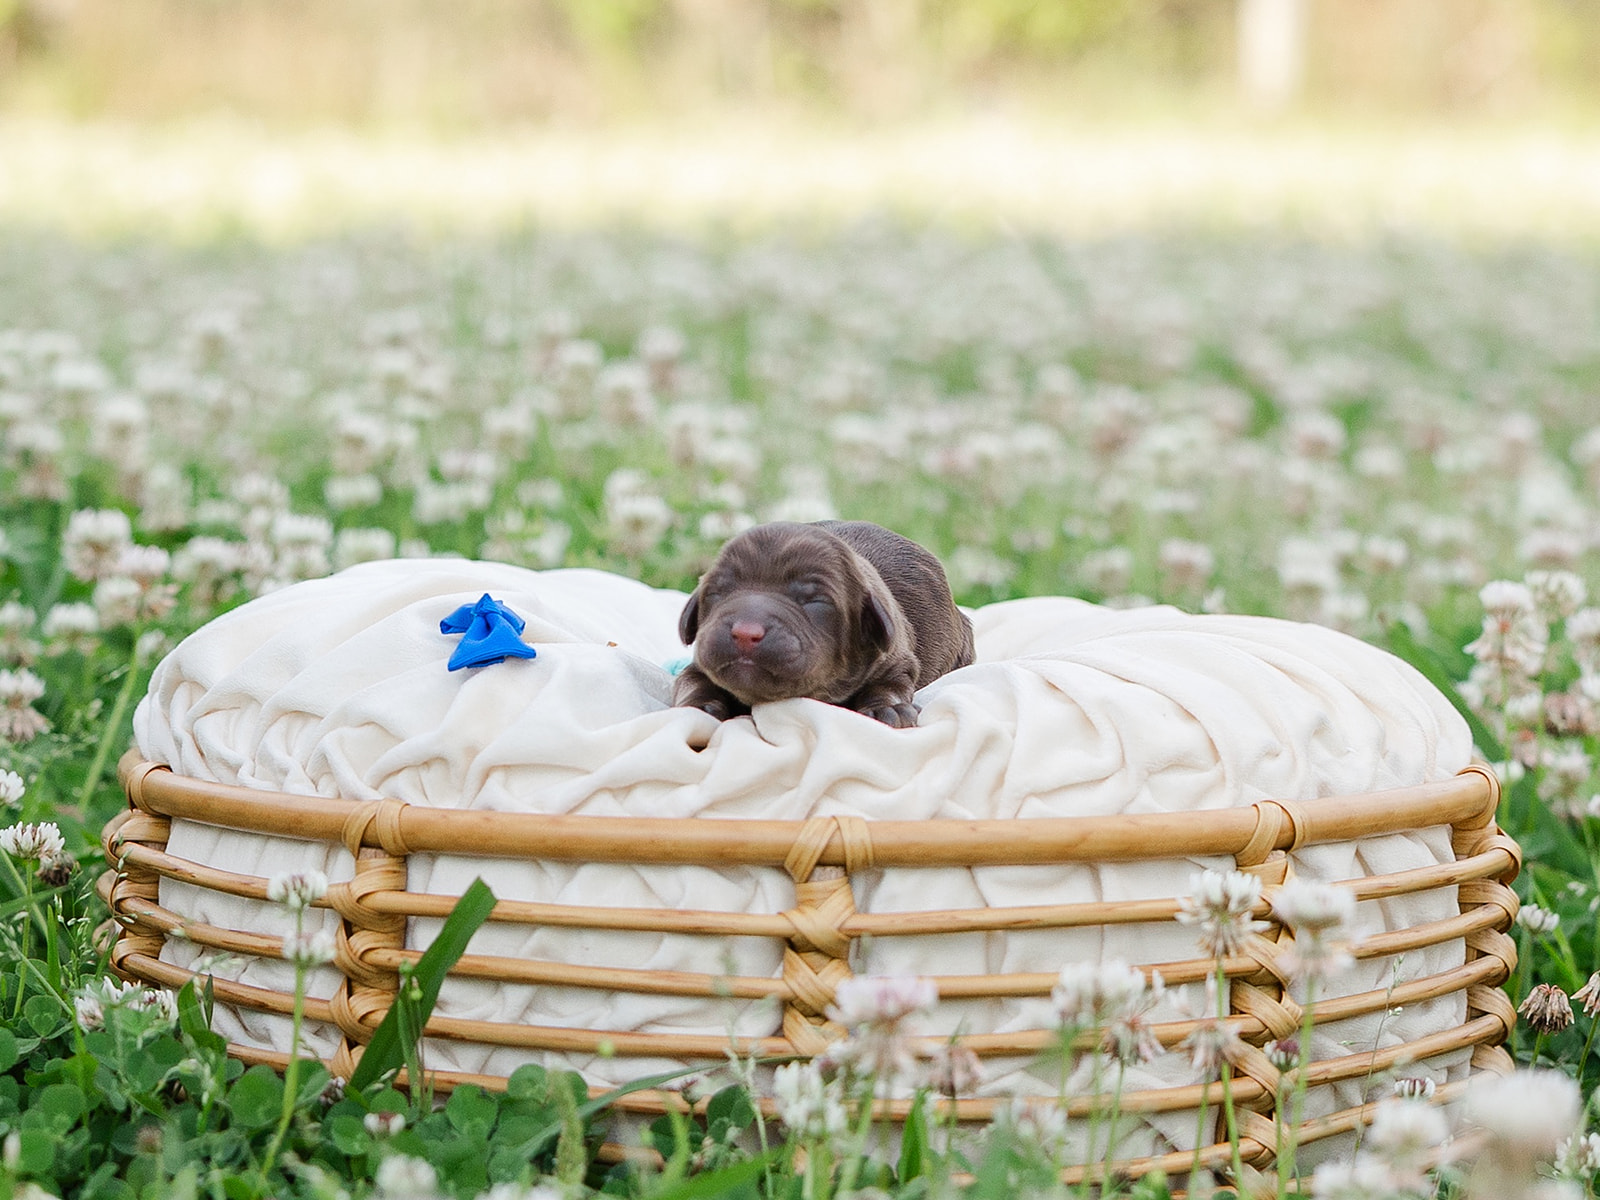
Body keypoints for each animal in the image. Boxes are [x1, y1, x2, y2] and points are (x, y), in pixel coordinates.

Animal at [672, 520, 975, 728]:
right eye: (717, 592)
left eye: (814, 601)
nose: (745, 633)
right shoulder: (701, 663)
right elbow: (692, 681)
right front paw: (698, 704)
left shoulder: (897, 662)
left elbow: (889, 686)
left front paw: (888, 709)